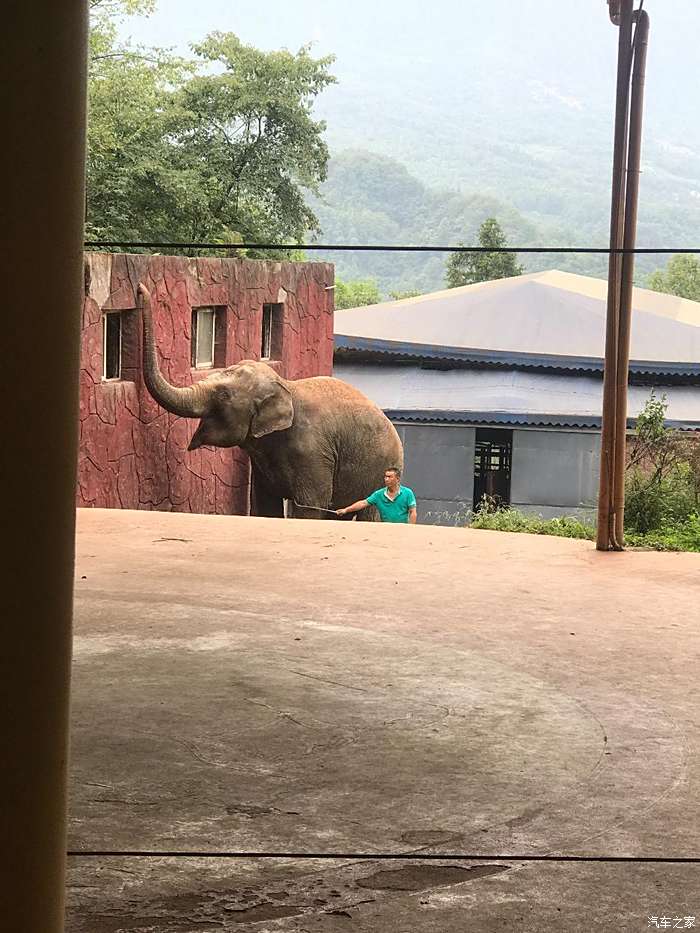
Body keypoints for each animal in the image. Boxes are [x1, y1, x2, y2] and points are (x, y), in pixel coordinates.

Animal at [136, 284, 402, 516]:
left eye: (223, 395)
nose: (139, 289)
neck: (285, 386)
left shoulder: (312, 452)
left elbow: (311, 505)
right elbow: (265, 503)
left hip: (378, 469)